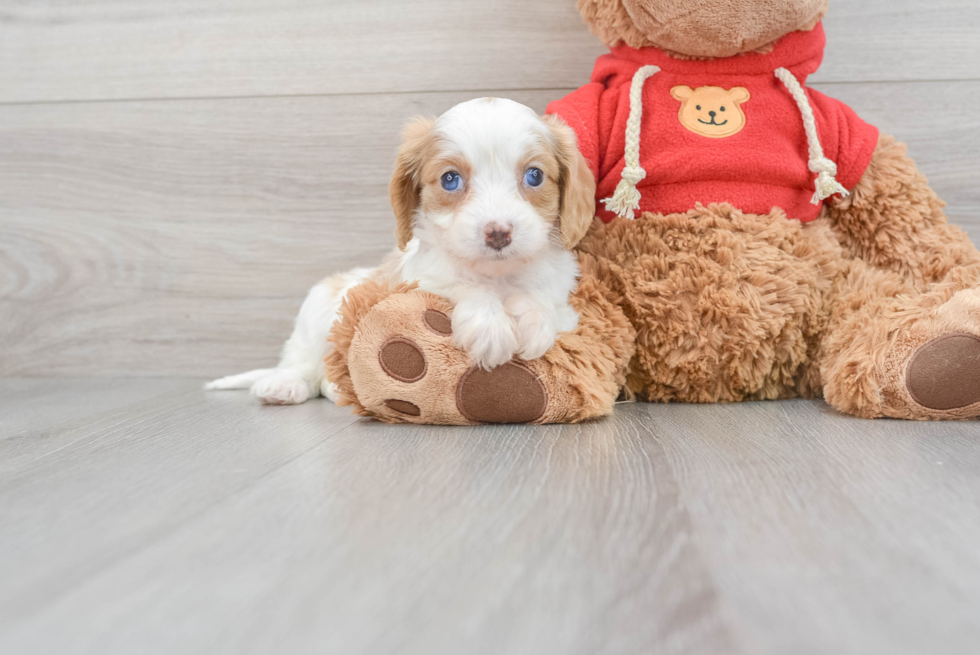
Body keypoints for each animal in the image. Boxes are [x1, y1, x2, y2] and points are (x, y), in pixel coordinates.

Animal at [203, 97, 592, 404]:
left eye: (534, 176)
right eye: (450, 179)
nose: (498, 233)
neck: (498, 275)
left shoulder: (563, 299)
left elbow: (541, 299)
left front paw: (533, 319)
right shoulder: (418, 280)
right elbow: (464, 285)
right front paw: (489, 324)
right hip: (315, 311)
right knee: (302, 363)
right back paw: (285, 385)